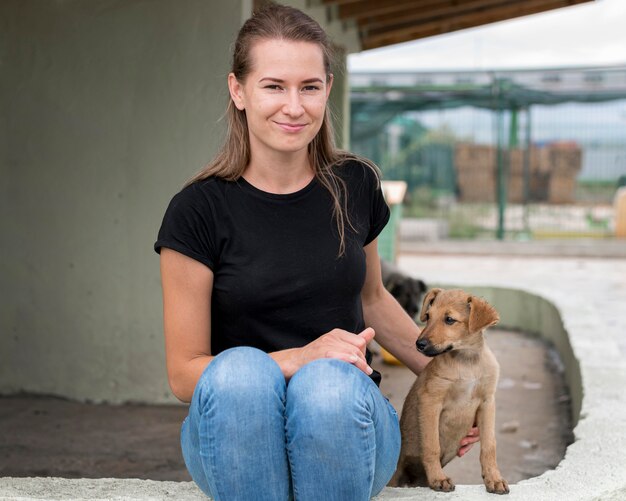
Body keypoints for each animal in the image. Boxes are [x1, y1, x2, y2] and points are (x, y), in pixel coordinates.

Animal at [390, 288, 508, 494]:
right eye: (428, 316)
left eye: (449, 319)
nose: (419, 344)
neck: (467, 363)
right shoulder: (430, 401)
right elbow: (432, 446)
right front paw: (439, 478)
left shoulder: (487, 403)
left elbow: (489, 446)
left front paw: (494, 478)